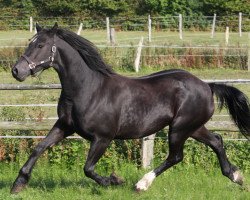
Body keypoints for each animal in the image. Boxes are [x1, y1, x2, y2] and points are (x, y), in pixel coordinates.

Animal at [10, 22, 249, 193]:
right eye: (30, 42)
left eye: (40, 45)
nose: (16, 70)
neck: (89, 89)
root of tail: (207, 86)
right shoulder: (64, 126)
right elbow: (39, 148)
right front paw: (18, 184)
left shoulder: (103, 137)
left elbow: (88, 168)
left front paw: (114, 180)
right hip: (193, 127)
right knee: (216, 141)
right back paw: (236, 176)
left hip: (179, 128)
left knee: (175, 157)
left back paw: (141, 184)